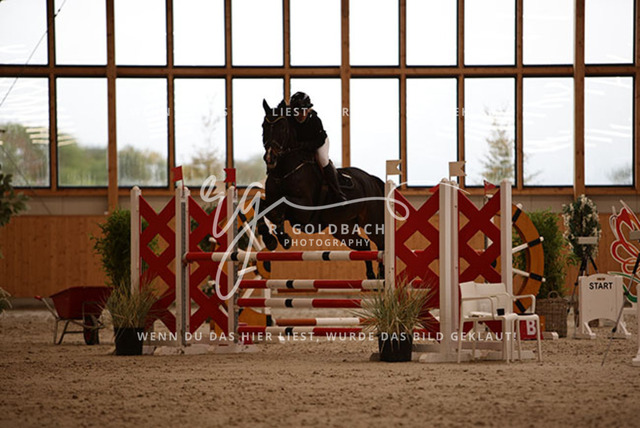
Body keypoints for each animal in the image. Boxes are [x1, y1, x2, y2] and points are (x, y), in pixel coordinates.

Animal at [257, 99, 386, 279]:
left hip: (372, 223)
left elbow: (280, 205)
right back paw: (372, 276)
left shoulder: (303, 210)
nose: (270, 158)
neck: (283, 171)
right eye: (264, 126)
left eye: (282, 127)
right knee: (365, 245)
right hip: (342, 228)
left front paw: (283, 237)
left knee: (381, 243)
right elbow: (260, 206)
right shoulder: (272, 200)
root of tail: (371, 179)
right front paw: (269, 238)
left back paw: (382, 276)